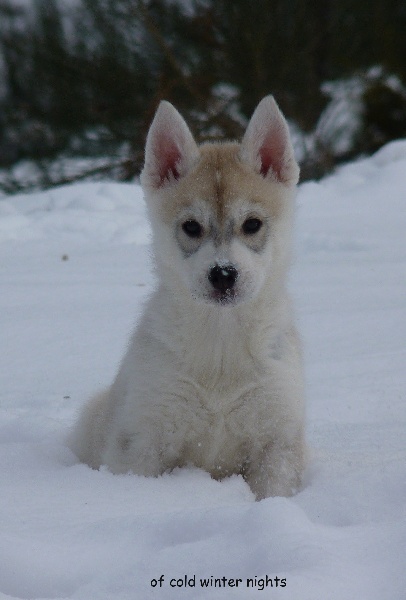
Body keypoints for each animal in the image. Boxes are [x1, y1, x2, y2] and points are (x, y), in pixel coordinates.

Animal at [71, 96, 306, 500]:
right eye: (191, 227)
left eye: (253, 224)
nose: (223, 274)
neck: (221, 346)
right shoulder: (143, 440)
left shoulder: (277, 441)